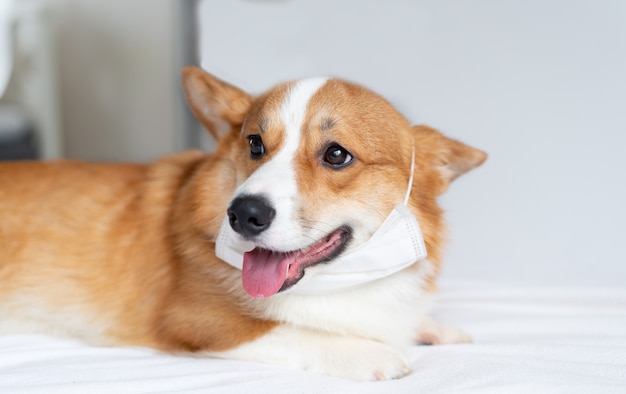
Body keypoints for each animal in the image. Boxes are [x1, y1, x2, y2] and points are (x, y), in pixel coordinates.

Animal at [0, 67, 486, 378]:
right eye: (254, 144)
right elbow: (286, 330)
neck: (334, 283)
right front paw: (371, 354)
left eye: (336, 154)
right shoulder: (195, 321)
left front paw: (431, 329)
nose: (243, 214)